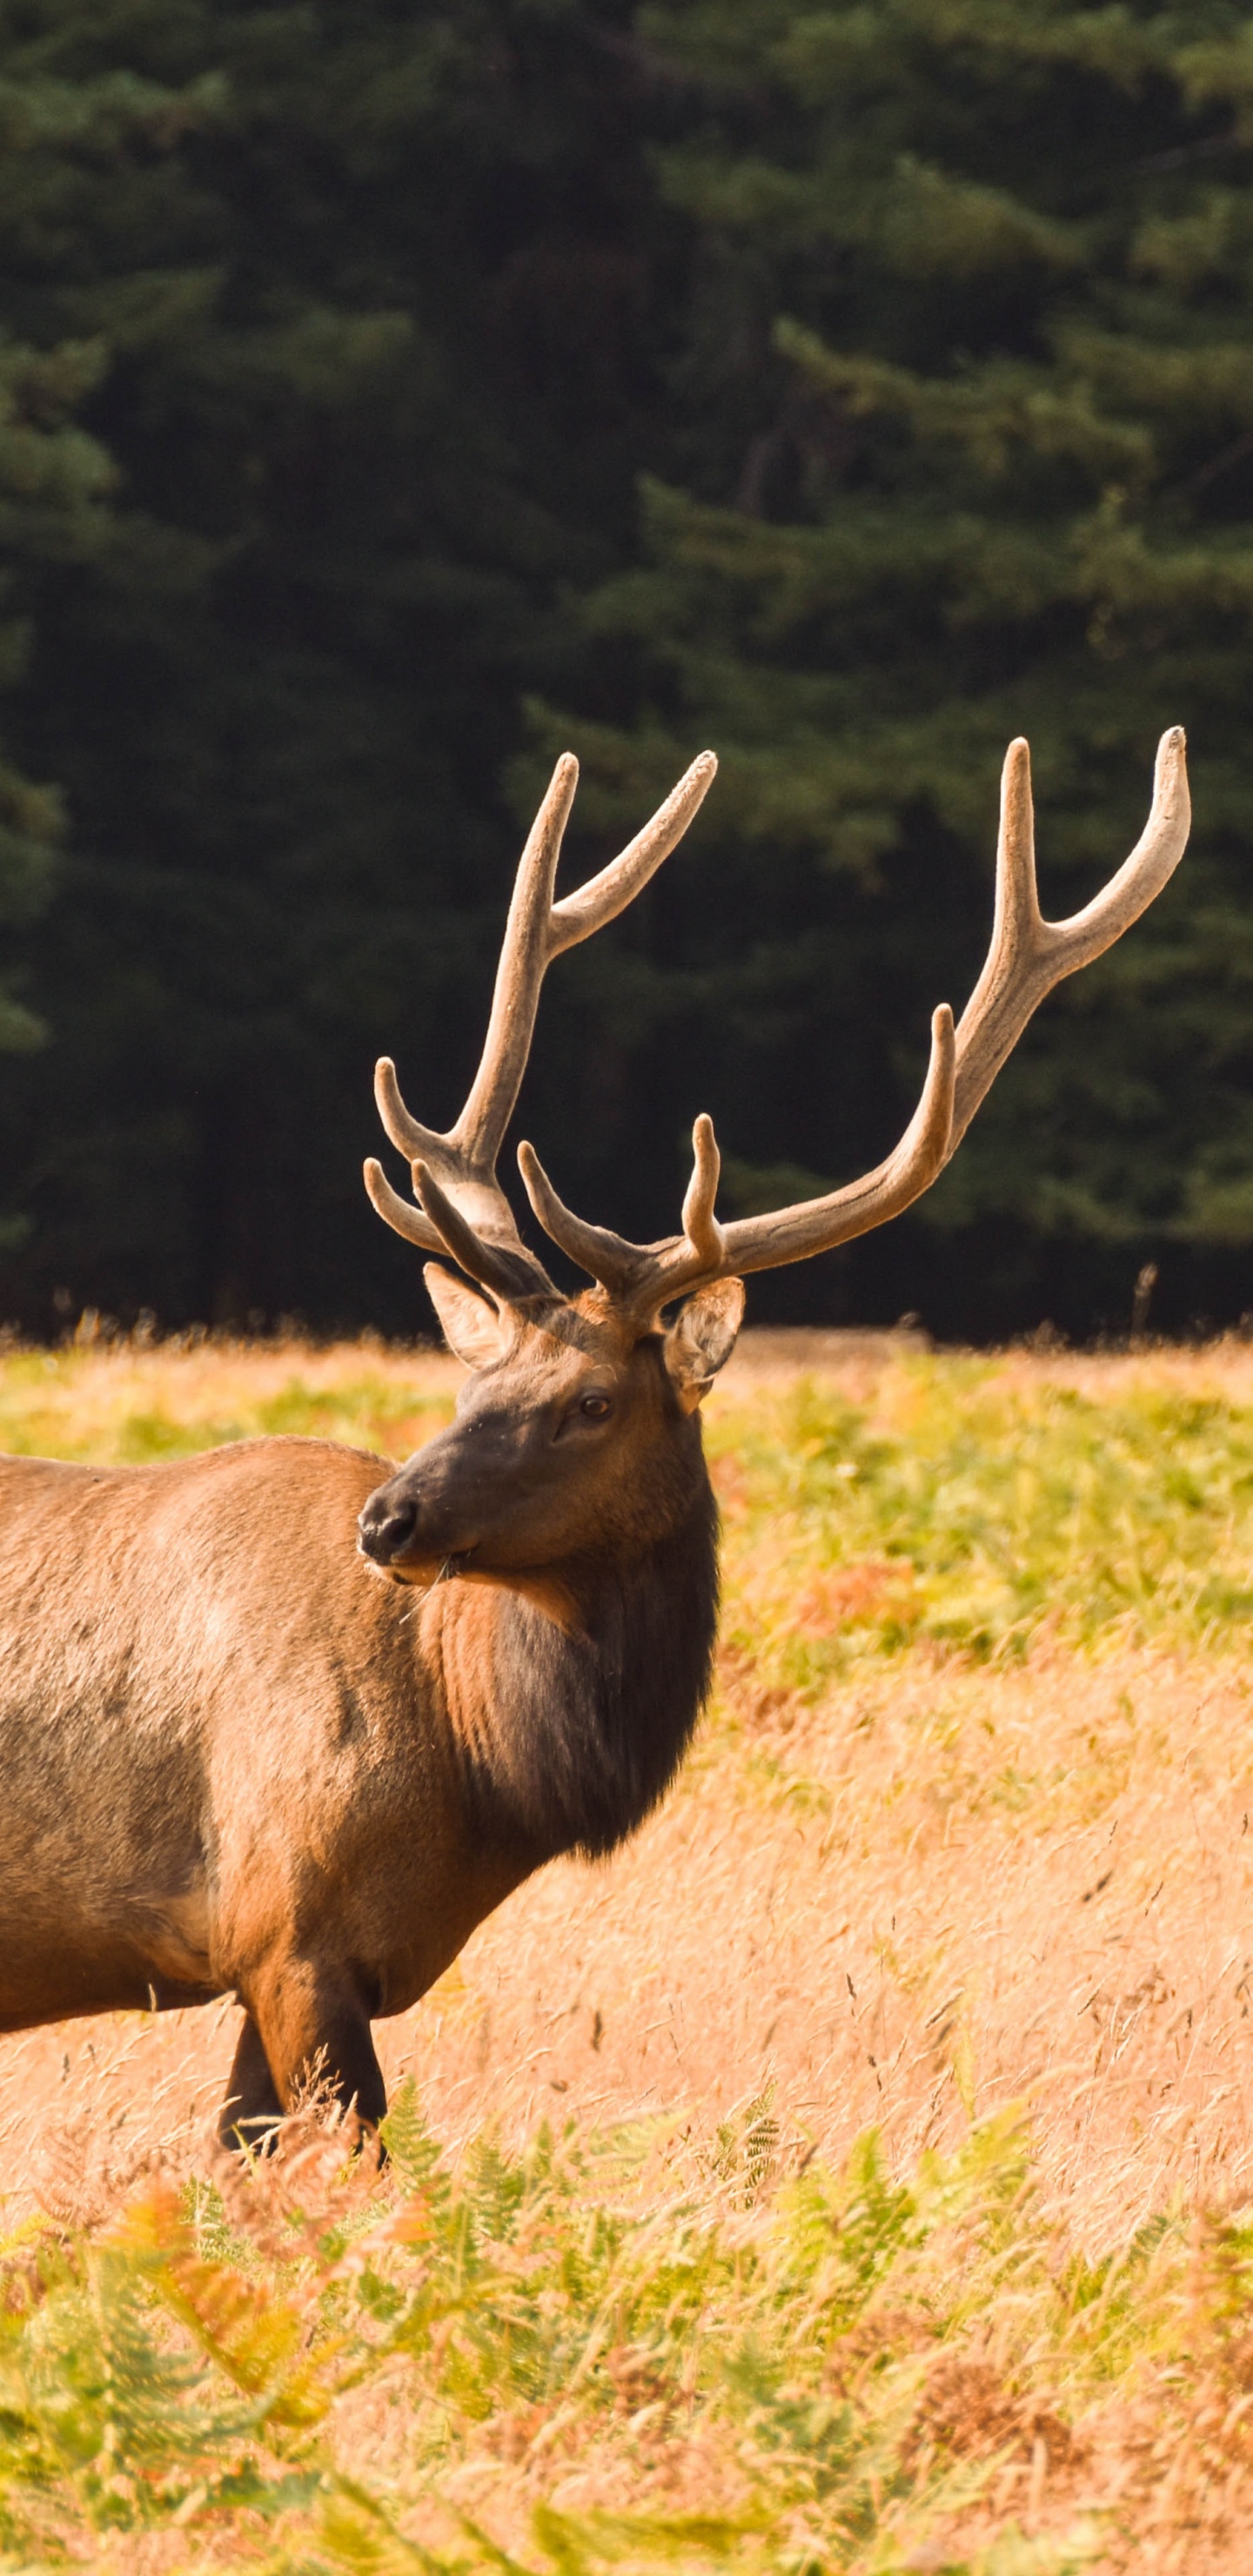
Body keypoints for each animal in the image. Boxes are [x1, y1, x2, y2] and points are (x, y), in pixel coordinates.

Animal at [0, 728, 1189, 2143]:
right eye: (475, 1382)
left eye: (589, 1402)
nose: (388, 1521)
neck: (478, 1767)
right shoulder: (281, 1924)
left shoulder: (296, 1963)